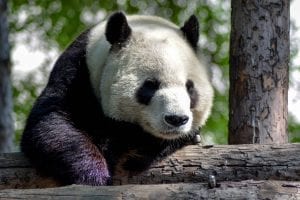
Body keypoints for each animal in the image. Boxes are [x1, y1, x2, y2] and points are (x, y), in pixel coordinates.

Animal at [20, 10, 213, 186]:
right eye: (150, 85)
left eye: (189, 87)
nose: (176, 119)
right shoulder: (77, 71)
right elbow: (51, 123)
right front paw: (93, 176)